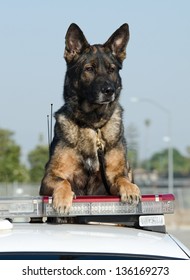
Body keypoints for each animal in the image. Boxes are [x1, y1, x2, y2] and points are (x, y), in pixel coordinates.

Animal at [39, 23, 141, 213]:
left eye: (111, 70)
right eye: (89, 69)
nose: (109, 91)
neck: (93, 123)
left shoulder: (110, 179)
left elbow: (122, 179)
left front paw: (130, 189)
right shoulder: (49, 176)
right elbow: (63, 182)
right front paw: (62, 198)